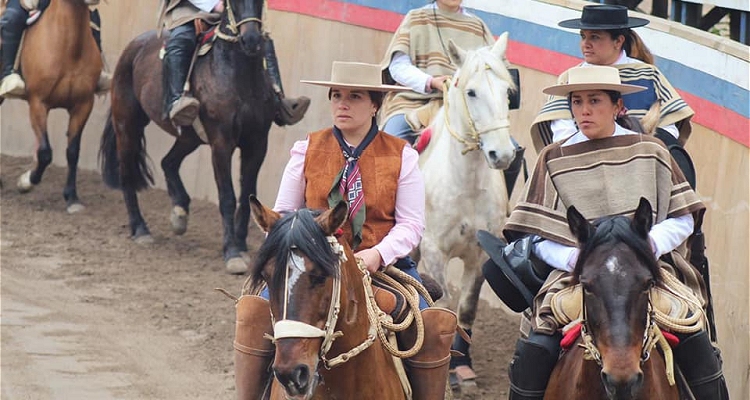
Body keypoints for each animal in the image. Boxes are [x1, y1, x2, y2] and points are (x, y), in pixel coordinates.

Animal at [3, 0, 103, 214]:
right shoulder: (38, 103)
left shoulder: (83, 105)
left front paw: (72, 198)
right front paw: (26, 182)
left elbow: (73, 151)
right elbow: (45, 152)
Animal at [98, 0, 276, 272]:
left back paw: (179, 213)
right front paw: (232, 252)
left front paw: (242, 246)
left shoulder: (257, 144)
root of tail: (134, 46)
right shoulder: (221, 143)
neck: (237, 76)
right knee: (128, 175)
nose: (252, 40)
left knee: (168, 162)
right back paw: (140, 229)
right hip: (127, 125)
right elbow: (227, 197)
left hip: (189, 137)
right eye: (233, 3)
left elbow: (247, 197)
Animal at [418, 32, 516, 394]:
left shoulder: (480, 254)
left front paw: (463, 368)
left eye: (507, 92)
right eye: (471, 92)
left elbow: (467, 308)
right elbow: (444, 304)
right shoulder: (434, 251)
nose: (501, 154)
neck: (467, 187)